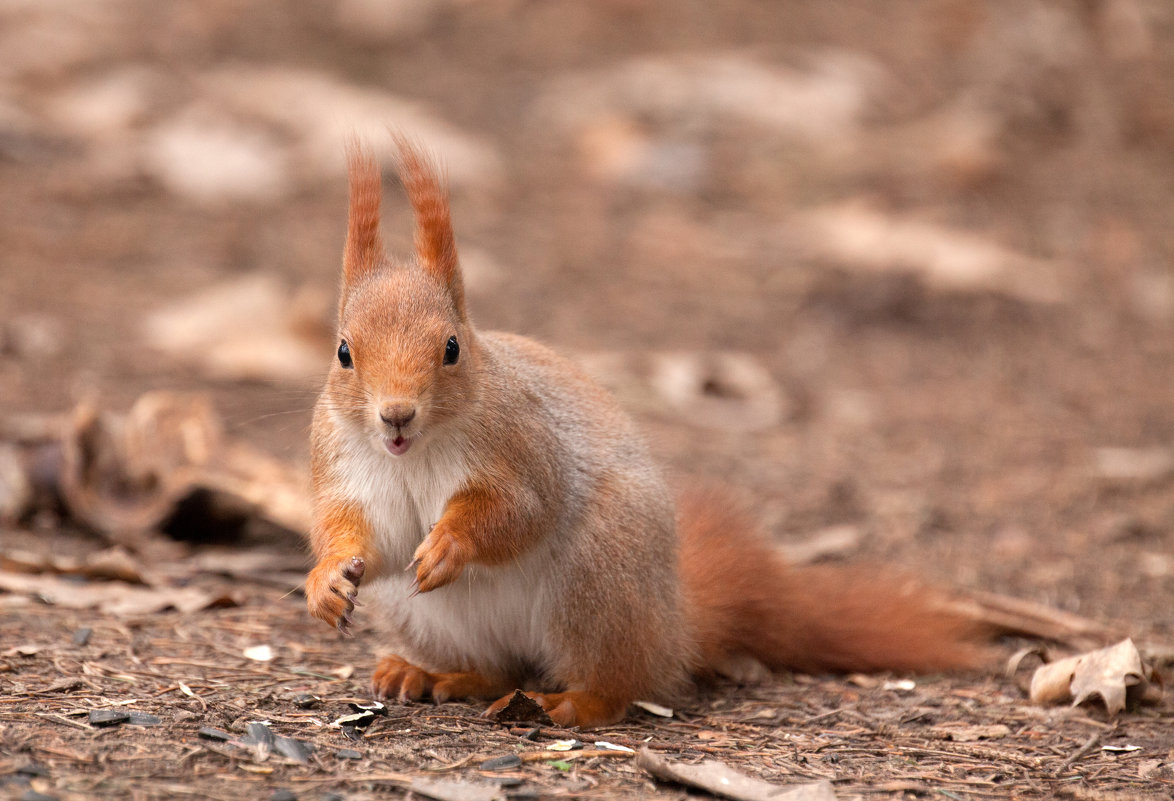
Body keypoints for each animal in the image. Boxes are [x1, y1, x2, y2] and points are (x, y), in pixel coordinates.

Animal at [302, 135, 990, 723]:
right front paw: (325, 581)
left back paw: (576, 702)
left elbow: (519, 511)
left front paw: (449, 542)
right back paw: (429, 675)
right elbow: (368, 538)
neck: (413, 452)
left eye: (451, 349)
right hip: (427, 616)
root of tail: (675, 626)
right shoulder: (343, 462)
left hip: (601, 576)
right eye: (343, 352)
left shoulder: (524, 448)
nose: (396, 413)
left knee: (620, 682)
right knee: (499, 671)